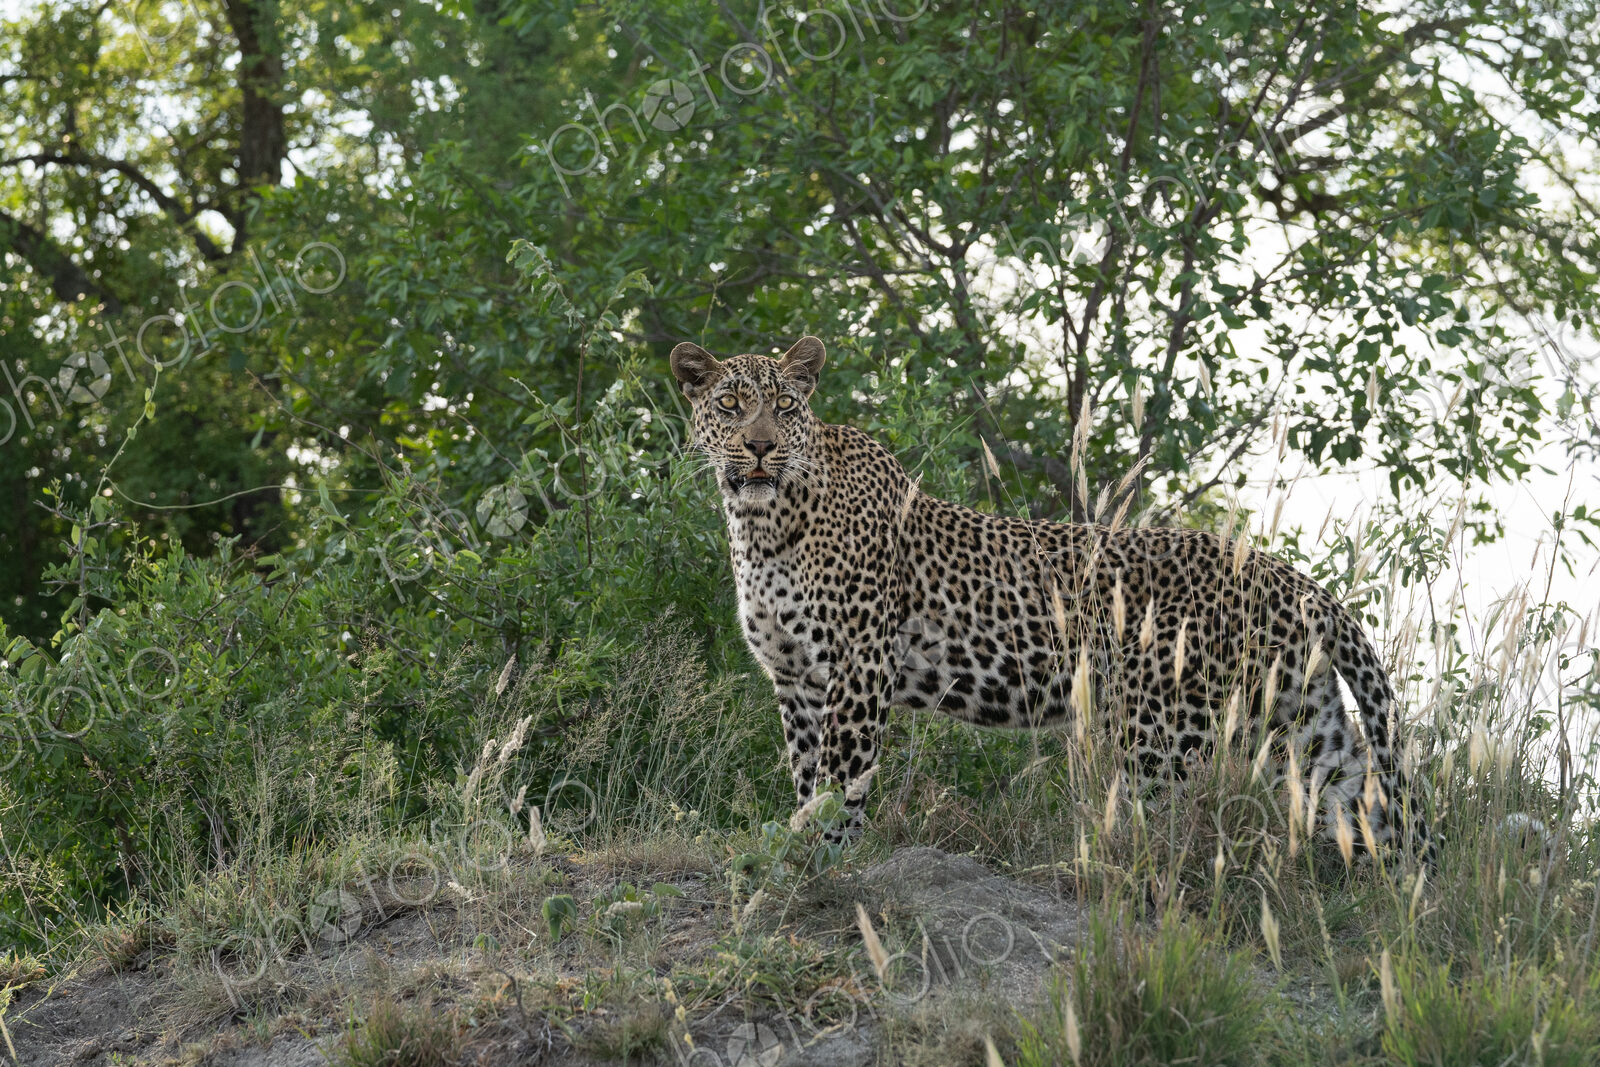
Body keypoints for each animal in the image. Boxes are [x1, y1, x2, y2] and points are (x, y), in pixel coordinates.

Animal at [671, 335, 1431, 860]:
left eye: (785, 406)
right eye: (729, 405)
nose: (759, 446)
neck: (762, 525)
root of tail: (1288, 576)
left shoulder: (858, 665)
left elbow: (839, 775)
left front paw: (816, 854)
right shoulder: (796, 678)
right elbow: (810, 772)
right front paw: (807, 844)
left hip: (1165, 729)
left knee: (1161, 823)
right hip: (1301, 718)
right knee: (1365, 800)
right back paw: (1393, 899)